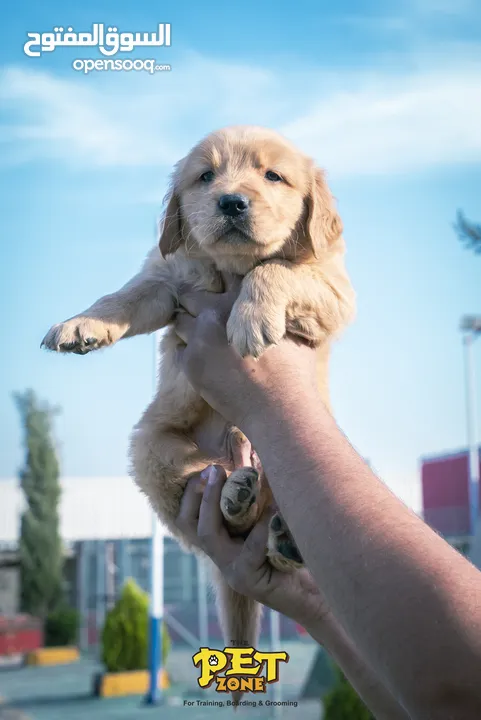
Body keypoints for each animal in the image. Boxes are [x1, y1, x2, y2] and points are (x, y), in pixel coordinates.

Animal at [42, 126, 356, 656]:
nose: (231, 202)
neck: (229, 266)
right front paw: (80, 324)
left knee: (271, 538)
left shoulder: (334, 291)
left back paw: (281, 535)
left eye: (273, 176)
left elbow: (276, 270)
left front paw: (250, 319)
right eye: (205, 177)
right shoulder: (165, 279)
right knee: (216, 497)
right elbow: (123, 296)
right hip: (150, 450)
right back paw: (237, 496)